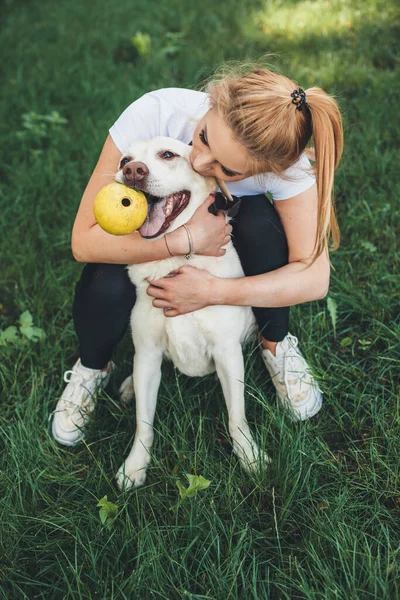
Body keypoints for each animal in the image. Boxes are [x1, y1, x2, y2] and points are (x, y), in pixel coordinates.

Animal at [114, 138, 268, 490]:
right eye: (124, 160)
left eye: (168, 154)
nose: (133, 171)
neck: (175, 262)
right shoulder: (148, 354)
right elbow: (144, 424)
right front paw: (135, 466)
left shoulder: (227, 353)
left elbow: (237, 417)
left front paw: (250, 456)